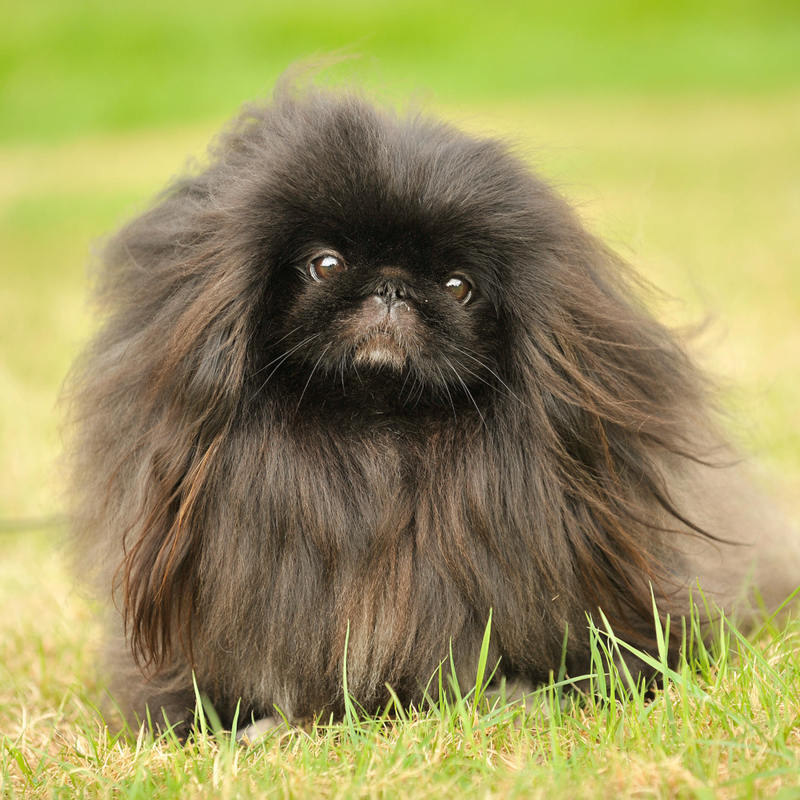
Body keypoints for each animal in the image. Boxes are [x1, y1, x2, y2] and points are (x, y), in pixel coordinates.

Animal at [65, 79, 796, 736]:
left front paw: (514, 697)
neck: (381, 436)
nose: (392, 287)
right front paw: (256, 724)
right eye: (326, 265)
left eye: (457, 285)